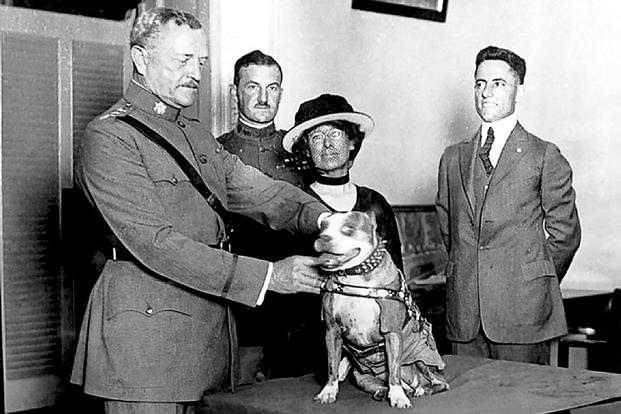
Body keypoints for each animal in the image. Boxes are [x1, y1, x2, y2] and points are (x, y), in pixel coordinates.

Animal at [314, 212, 446, 410]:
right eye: (323, 227)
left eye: (348, 229)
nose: (323, 238)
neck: (356, 278)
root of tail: (414, 383)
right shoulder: (332, 331)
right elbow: (332, 365)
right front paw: (328, 391)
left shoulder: (391, 331)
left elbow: (394, 369)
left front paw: (398, 397)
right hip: (360, 376)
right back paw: (385, 392)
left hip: (421, 359)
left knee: (438, 382)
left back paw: (422, 390)